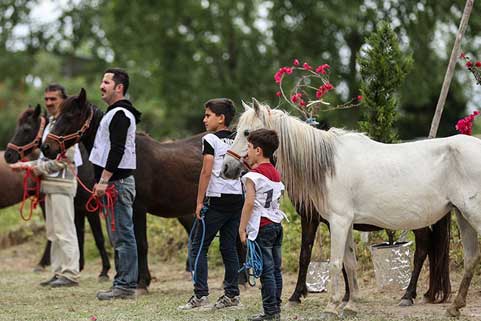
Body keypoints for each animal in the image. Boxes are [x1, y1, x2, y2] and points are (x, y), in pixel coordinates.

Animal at [223, 98, 480, 318]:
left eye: (247, 133)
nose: (226, 167)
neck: (326, 165)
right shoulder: (344, 224)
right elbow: (350, 264)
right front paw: (350, 305)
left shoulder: (338, 222)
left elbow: (335, 264)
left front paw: (331, 307)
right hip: (461, 216)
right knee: (470, 257)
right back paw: (454, 307)